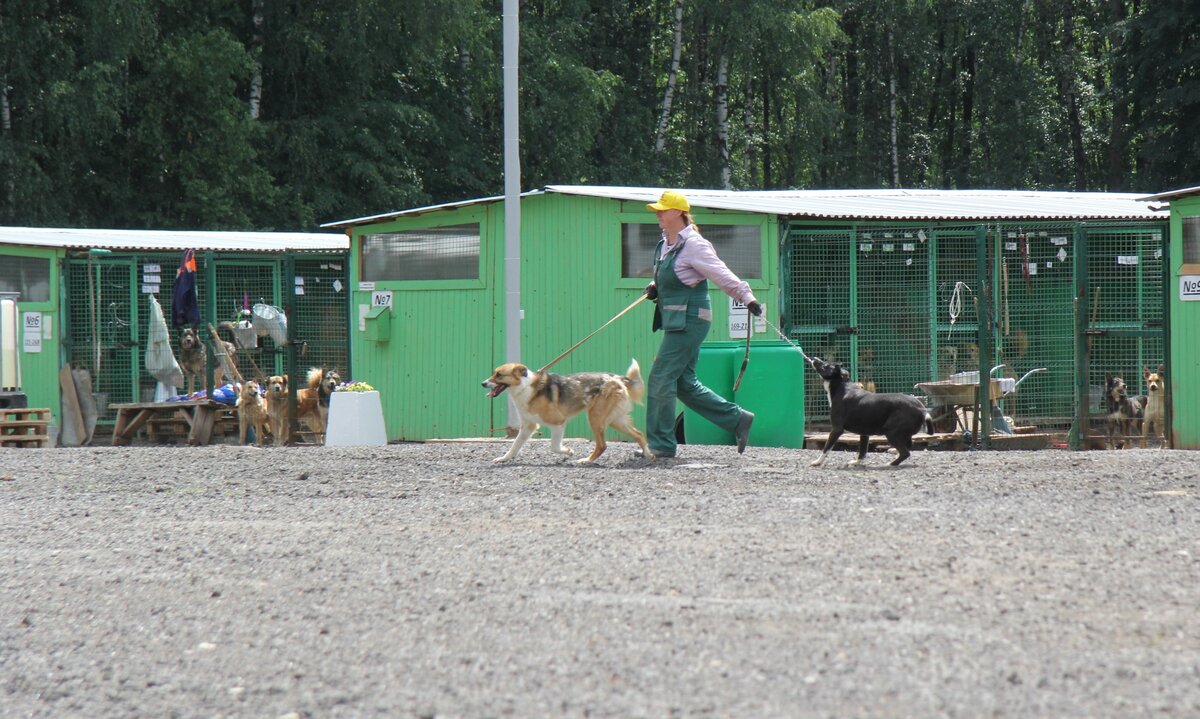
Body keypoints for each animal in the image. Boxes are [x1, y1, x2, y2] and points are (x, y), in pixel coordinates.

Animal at [477, 360, 652, 468]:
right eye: (494, 373)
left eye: (499, 375)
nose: (483, 383)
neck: (525, 388)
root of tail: (617, 379)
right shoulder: (527, 427)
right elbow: (514, 446)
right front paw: (504, 459)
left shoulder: (558, 423)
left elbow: (554, 447)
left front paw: (568, 451)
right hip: (615, 420)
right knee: (639, 434)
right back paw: (649, 455)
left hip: (595, 418)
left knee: (602, 445)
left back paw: (586, 461)